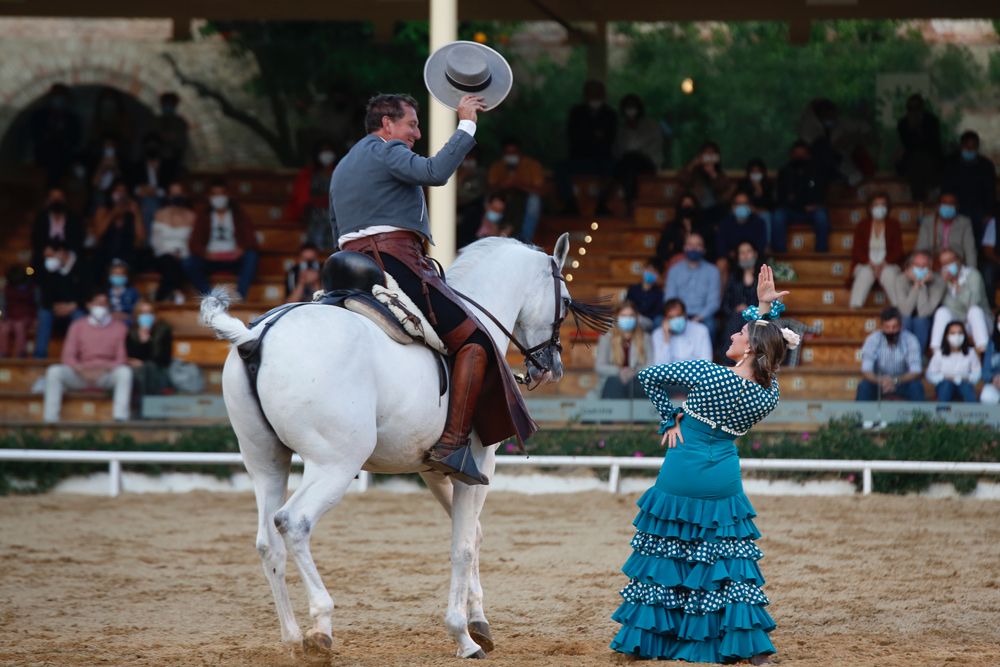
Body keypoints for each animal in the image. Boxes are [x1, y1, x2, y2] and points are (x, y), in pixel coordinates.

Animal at [199, 234, 584, 656]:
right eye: (566, 300)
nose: (552, 367)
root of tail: (256, 337)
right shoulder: (479, 466)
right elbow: (463, 545)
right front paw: (463, 635)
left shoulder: (434, 468)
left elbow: (473, 533)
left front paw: (479, 620)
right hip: (334, 464)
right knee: (293, 522)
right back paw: (321, 628)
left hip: (265, 462)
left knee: (268, 542)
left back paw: (293, 638)